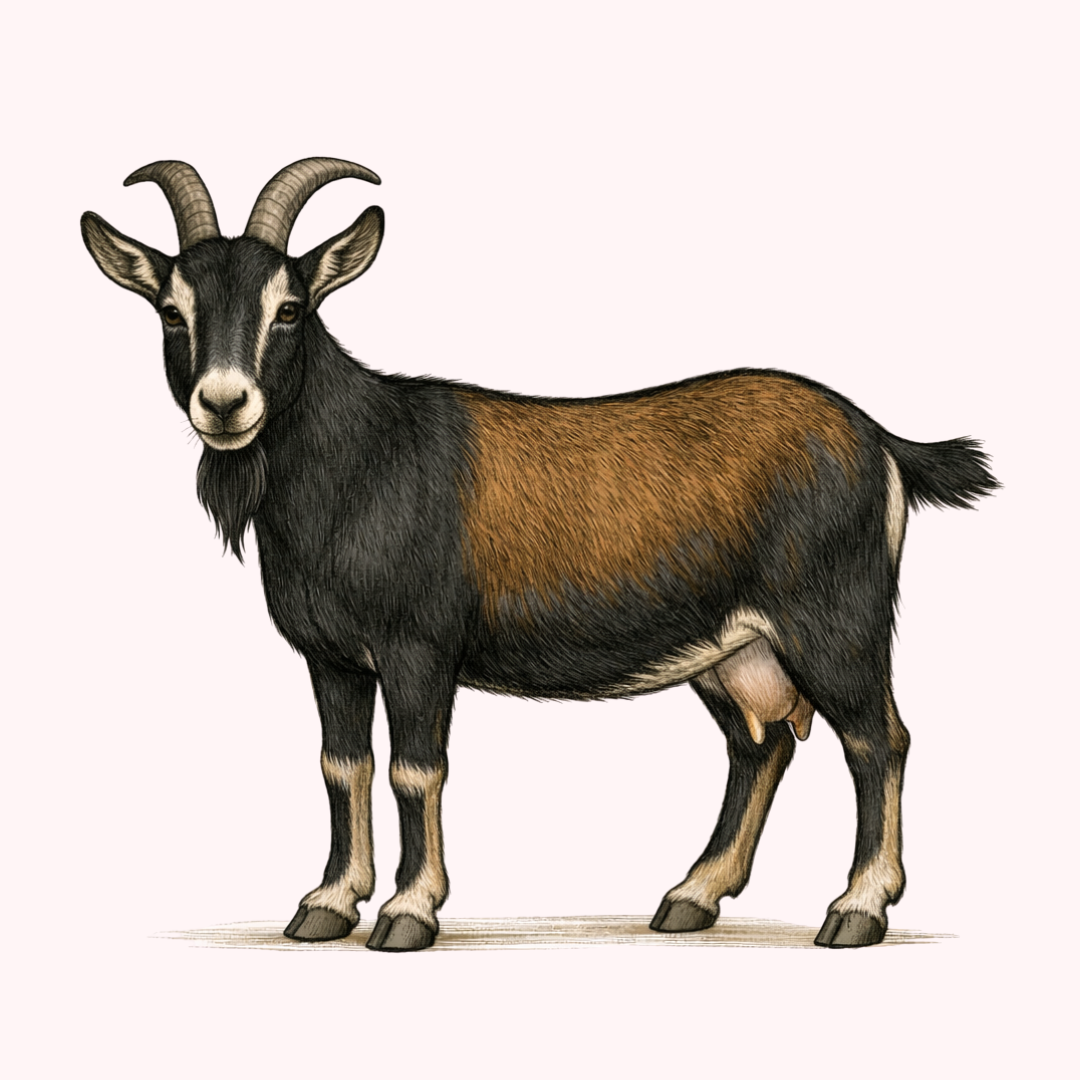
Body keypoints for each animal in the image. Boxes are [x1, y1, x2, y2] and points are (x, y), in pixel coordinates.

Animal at [83, 158, 997, 951]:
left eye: (290, 307)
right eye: (171, 309)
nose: (224, 403)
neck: (366, 457)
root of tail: (879, 440)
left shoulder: (419, 649)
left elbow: (415, 768)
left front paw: (407, 913)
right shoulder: (332, 657)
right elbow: (343, 766)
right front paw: (326, 904)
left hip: (834, 622)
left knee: (877, 739)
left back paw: (857, 909)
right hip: (733, 647)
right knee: (761, 744)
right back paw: (691, 896)